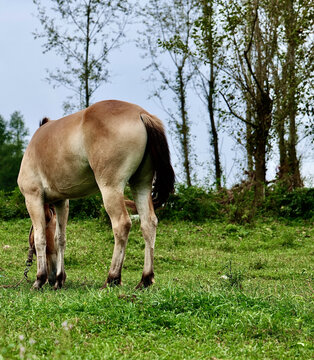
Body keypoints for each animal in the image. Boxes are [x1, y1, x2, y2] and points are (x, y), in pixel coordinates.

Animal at [17, 100, 174, 292]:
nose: (52, 276)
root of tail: (141, 114)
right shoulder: (62, 201)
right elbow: (60, 238)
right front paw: (60, 280)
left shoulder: (33, 198)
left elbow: (41, 239)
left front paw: (39, 279)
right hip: (141, 185)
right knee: (148, 224)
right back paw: (145, 279)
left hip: (111, 188)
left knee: (122, 224)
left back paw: (112, 278)